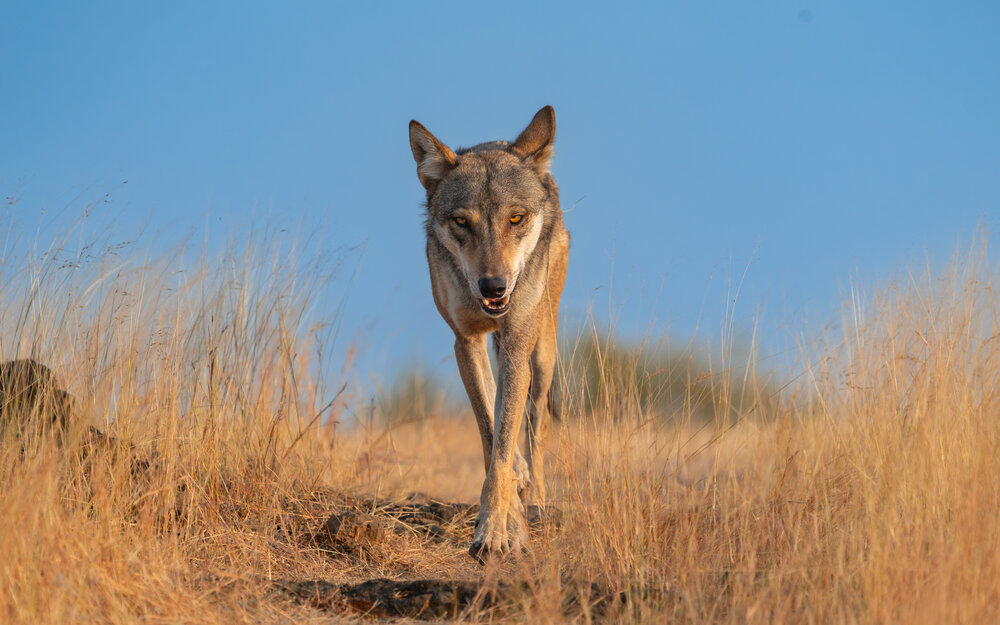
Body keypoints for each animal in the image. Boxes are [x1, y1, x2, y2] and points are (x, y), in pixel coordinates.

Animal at [408, 106, 569, 559]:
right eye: (462, 222)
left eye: (515, 218)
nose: (493, 287)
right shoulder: (466, 342)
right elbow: (489, 433)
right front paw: (504, 519)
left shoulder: (516, 345)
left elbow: (503, 444)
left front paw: (498, 532)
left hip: (542, 355)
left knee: (536, 425)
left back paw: (538, 501)